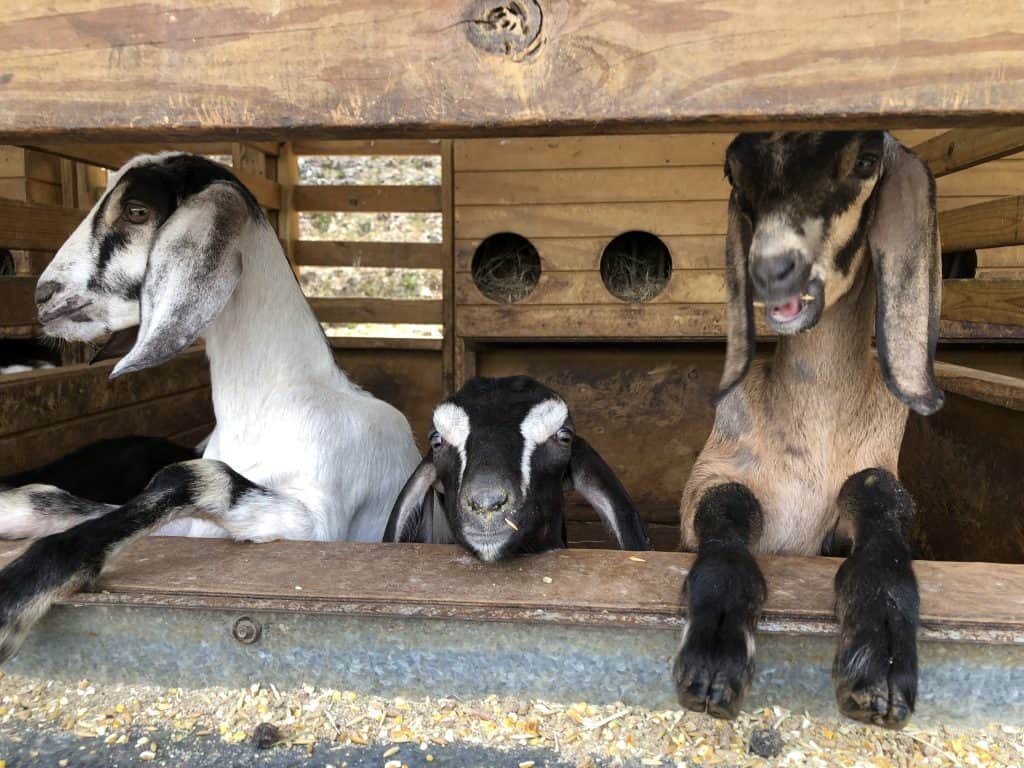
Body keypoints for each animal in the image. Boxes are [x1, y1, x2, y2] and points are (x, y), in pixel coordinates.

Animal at [0, 152, 421, 661]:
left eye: (137, 211)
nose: (44, 296)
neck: (272, 405)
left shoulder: (318, 525)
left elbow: (190, 475)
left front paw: (16, 594)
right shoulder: (192, 529)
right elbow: (54, 498)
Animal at [673, 132, 940, 729]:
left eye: (866, 160)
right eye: (733, 172)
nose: (772, 268)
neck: (811, 438)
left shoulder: (871, 470)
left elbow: (878, 493)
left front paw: (882, 662)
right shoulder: (711, 473)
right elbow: (730, 505)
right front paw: (713, 659)